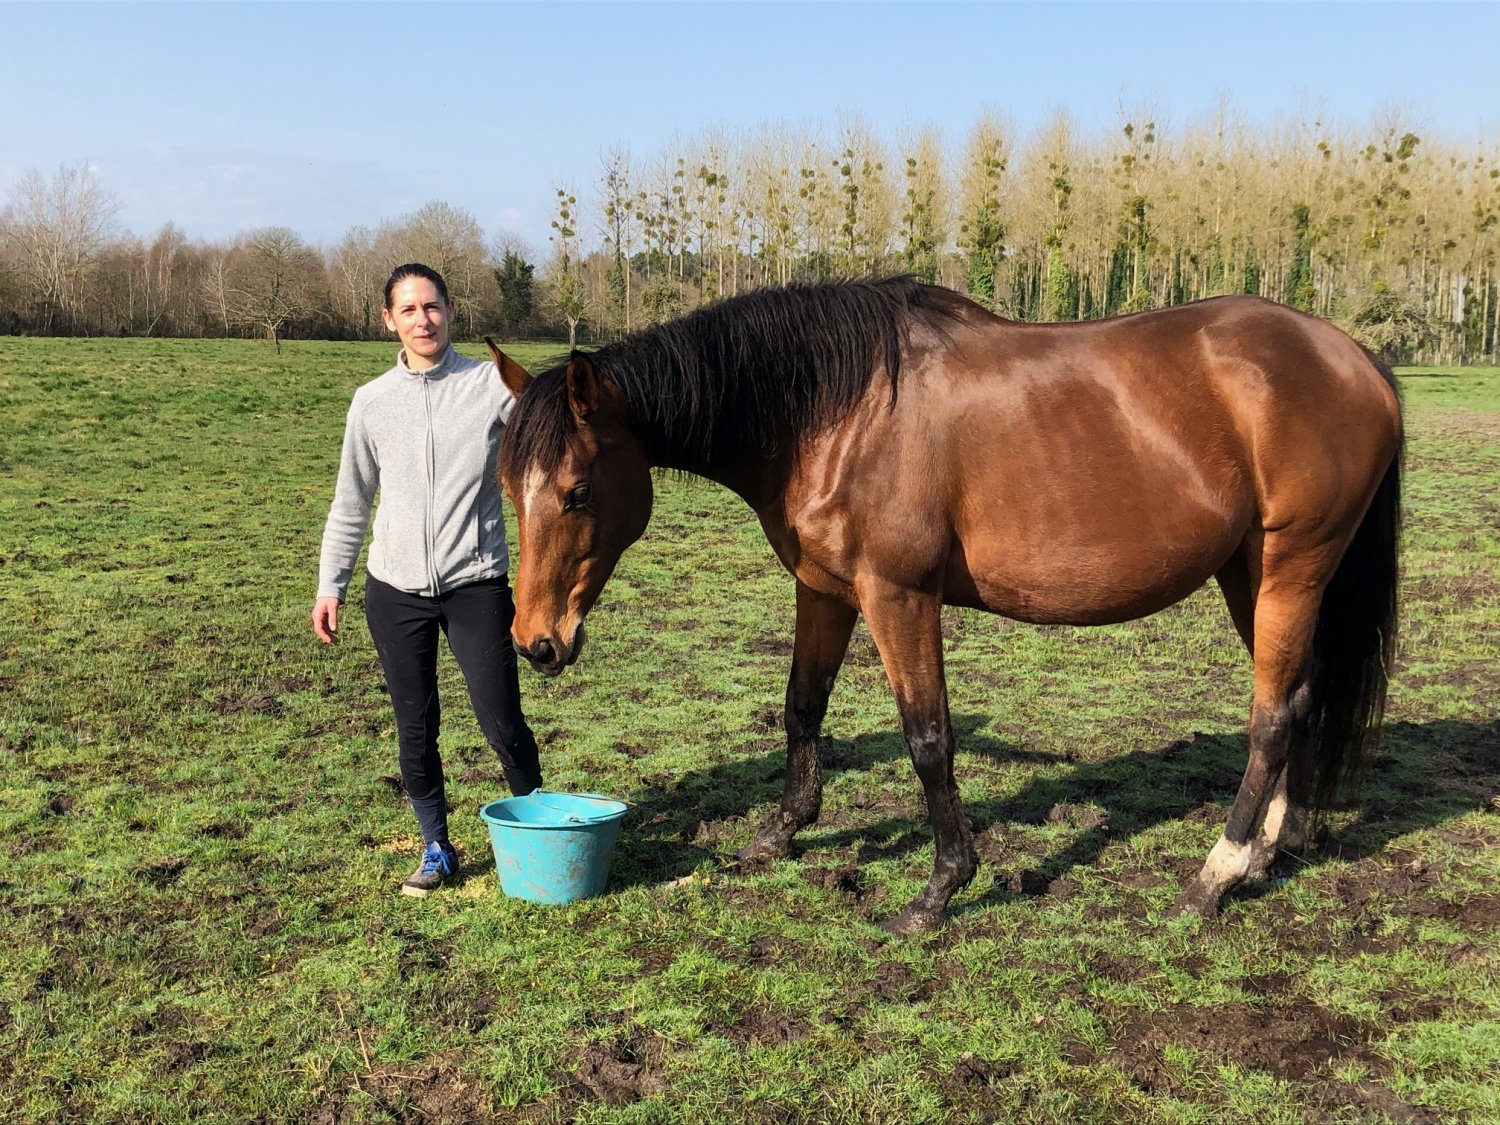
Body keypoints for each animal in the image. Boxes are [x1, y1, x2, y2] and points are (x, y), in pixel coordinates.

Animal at [484, 276, 1402, 934]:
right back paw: (1269, 851)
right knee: (1300, 699)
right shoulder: (825, 589)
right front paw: (780, 834)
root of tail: (1353, 357)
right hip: (1253, 574)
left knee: (1273, 717)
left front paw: (939, 890)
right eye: (504, 485)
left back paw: (1214, 876)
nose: (536, 642)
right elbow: (801, 706)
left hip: (1292, 568)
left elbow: (928, 738)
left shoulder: (899, 595)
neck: (835, 409)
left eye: (574, 491)